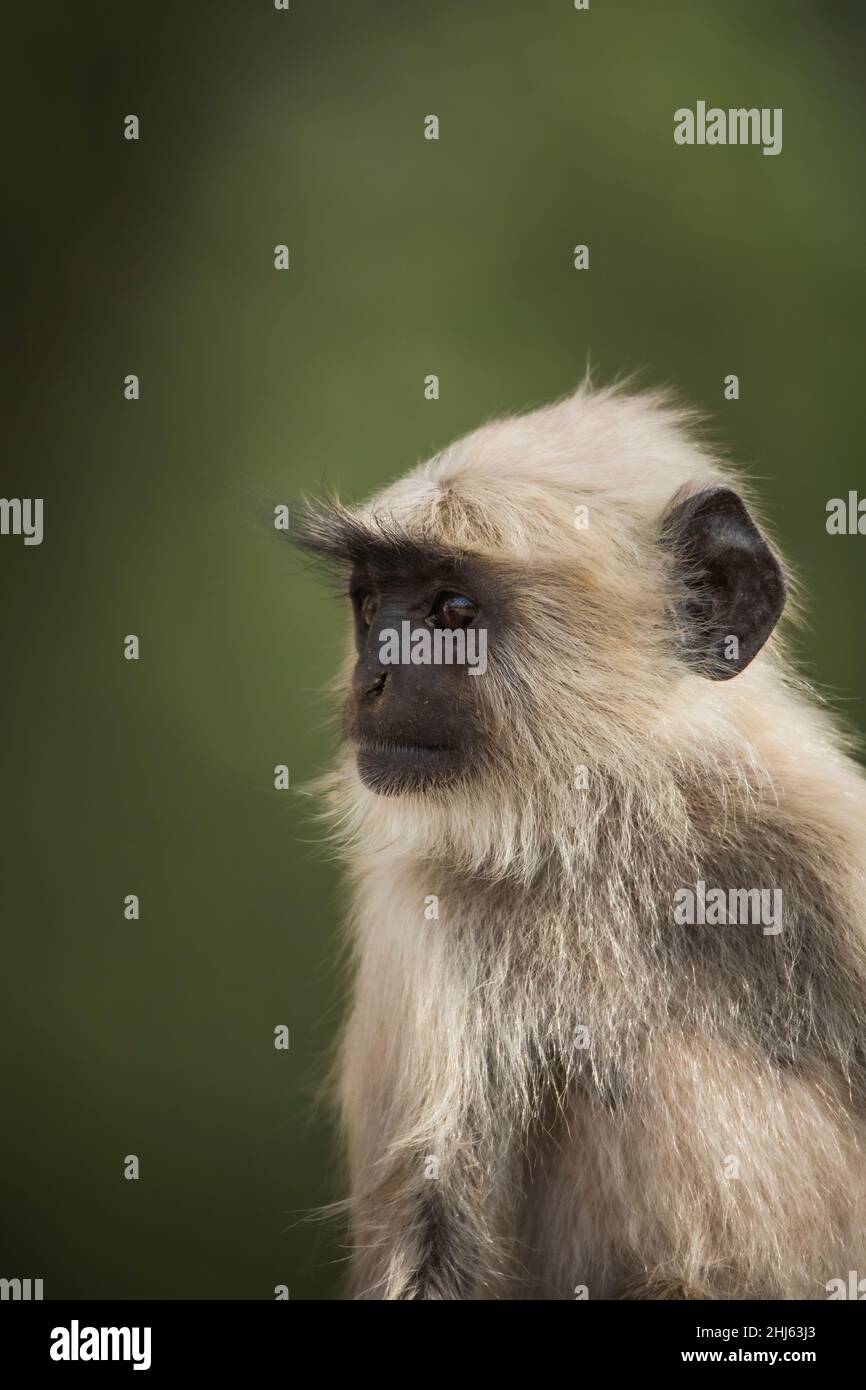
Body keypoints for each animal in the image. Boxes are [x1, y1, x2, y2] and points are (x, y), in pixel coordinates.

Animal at [297, 383, 866, 1301]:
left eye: (453, 612)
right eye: (370, 604)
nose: (373, 677)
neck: (613, 845)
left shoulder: (831, 844)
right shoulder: (421, 916)